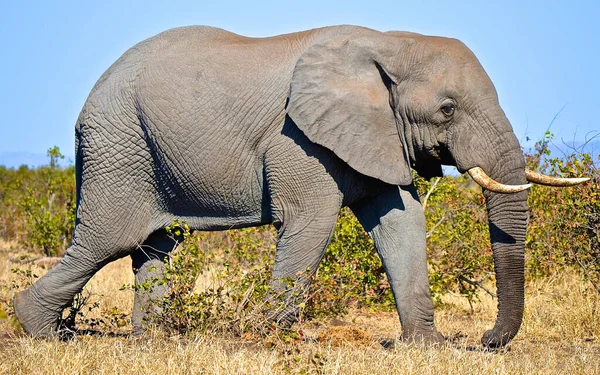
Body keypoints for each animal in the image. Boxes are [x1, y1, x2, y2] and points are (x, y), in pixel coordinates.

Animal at [11, 25, 588, 348]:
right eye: (447, 109)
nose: (485, 340)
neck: (389, 42)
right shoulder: (297, 136)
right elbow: (312, 223)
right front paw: (267, 341)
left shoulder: (376, 132)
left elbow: (402, 222)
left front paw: (428, 347)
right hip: (118, 145)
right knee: (110, 239)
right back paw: (45, 333)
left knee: (155, 246)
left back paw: (148, 341)